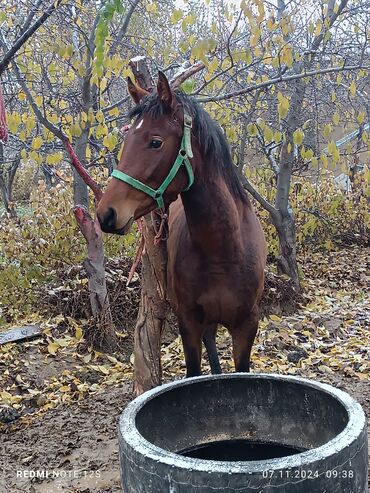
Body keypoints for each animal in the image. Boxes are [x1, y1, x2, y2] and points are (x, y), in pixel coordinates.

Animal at [97, 71, 268, 374]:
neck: (224, 251)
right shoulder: (188, 324)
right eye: (126, 141)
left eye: (155, 142)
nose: (106, 213)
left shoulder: (247, 326)